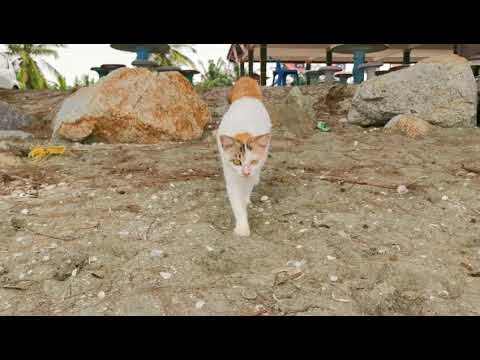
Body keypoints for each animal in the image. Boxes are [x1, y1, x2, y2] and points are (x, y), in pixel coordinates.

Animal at [217, 76, 272, 236]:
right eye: (236, 161)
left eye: (253, 161)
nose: (246, 172)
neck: (244, 133)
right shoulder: (230, 171)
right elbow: (236, 200)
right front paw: (242, 227)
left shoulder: (255, 167)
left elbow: (247, 187)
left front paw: (245, 198)